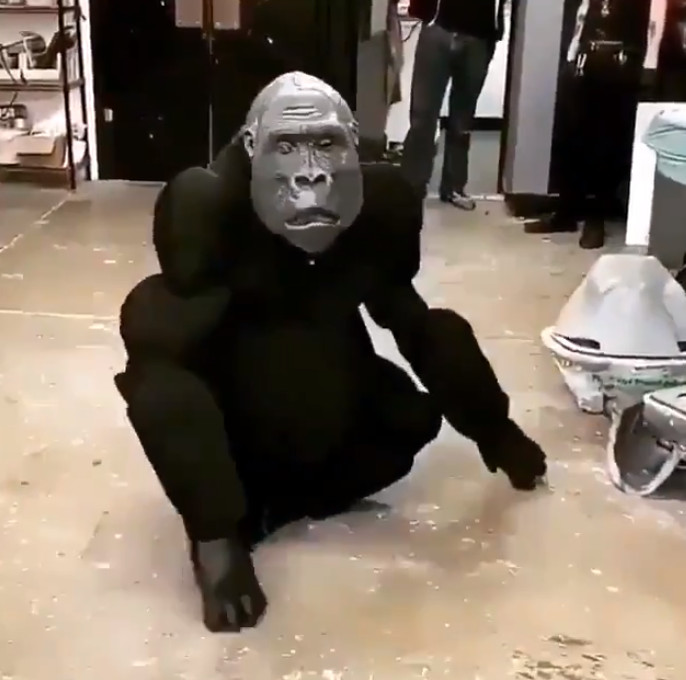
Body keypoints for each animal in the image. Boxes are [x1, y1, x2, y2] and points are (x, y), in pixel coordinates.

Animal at [114, 71, 547, 633]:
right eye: (284, 146)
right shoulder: (192, 208)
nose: (310, 180)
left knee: (411, 411)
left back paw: (322, 503)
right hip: (251, 483)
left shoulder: (392, 205)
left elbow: (417, 321)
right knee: (161, 382)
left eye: (326, 143)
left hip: (307, 482)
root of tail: (279, 504)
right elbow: (155, 341)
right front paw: (220, 558)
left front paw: (504, 437)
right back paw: (228, 538)